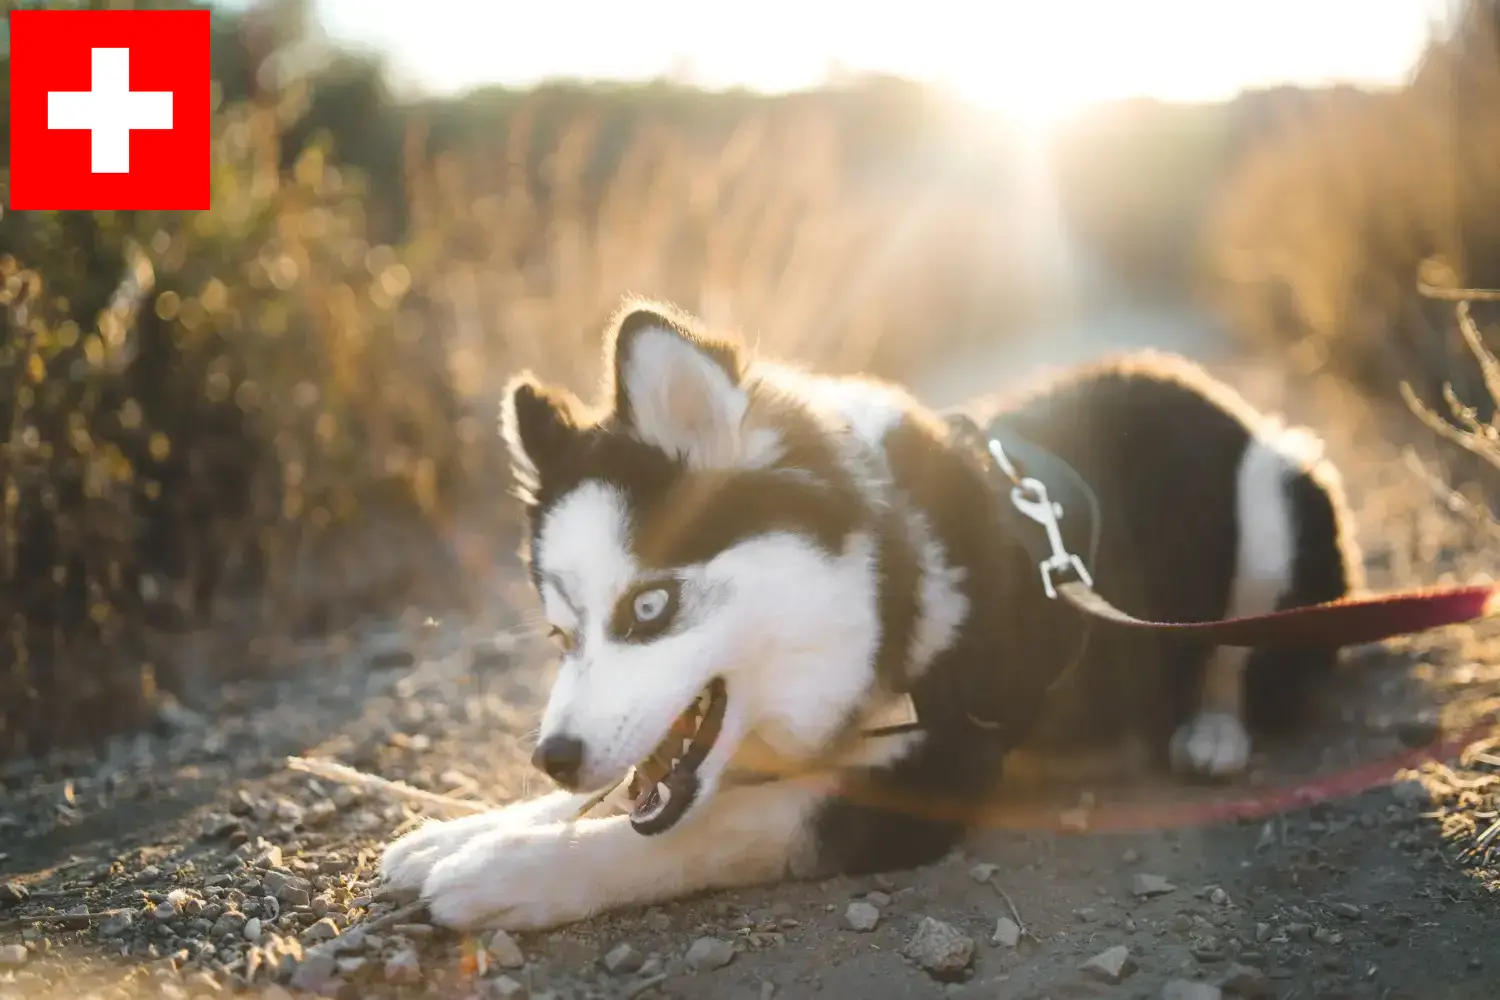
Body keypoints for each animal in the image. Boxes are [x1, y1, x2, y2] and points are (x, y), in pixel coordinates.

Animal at [381, 301, 1368, 935]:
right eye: (560, 633)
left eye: (650, 605)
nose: (551, 756)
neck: (881, 584)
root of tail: (1197, 382)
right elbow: (634, 795)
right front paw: (464, 831)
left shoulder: (941, 765)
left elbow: (707, 826)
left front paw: (508, 872)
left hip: (1279, 491)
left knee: (1238, 650)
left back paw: (1212, 729)